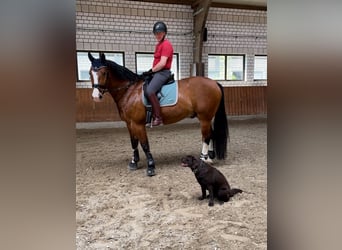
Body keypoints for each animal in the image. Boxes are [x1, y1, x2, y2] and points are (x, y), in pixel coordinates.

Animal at [87, 52, 228, 176]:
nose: (96, 96)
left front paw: (150, 166)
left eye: (104, 73)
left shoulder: (138, 124)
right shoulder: (129, 123)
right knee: (211, 134)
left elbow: (144, 144)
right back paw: (210, 157)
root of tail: (214, 82)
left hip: (204, 117)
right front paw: (134, 162)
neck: (129, 91)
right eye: (90, 73)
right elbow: (133, 142)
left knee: (206, 136)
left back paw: (204, 159)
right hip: (207, 118)